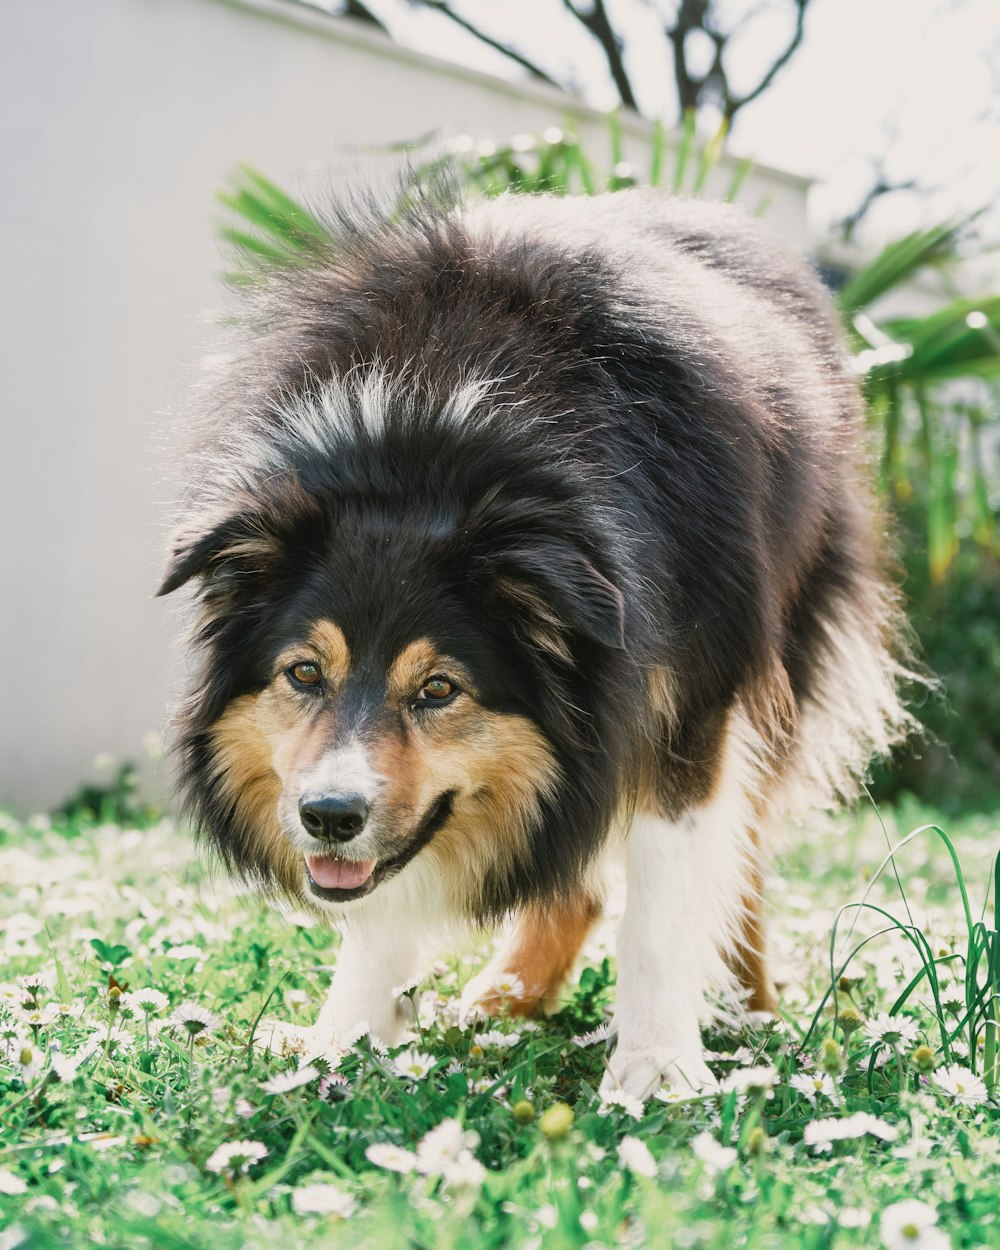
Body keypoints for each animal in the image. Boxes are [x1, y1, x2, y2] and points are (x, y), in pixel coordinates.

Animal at [158, 185, 915, 1095]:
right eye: (304, 673)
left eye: (439, 688)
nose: (328, 817)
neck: (436, 443)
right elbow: (379, 907)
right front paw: (340, 1041)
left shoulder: (687, 696)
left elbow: (665, 898)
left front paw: (659, 1068)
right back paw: (503, 999)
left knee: (742, 854)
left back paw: (748, 1006)